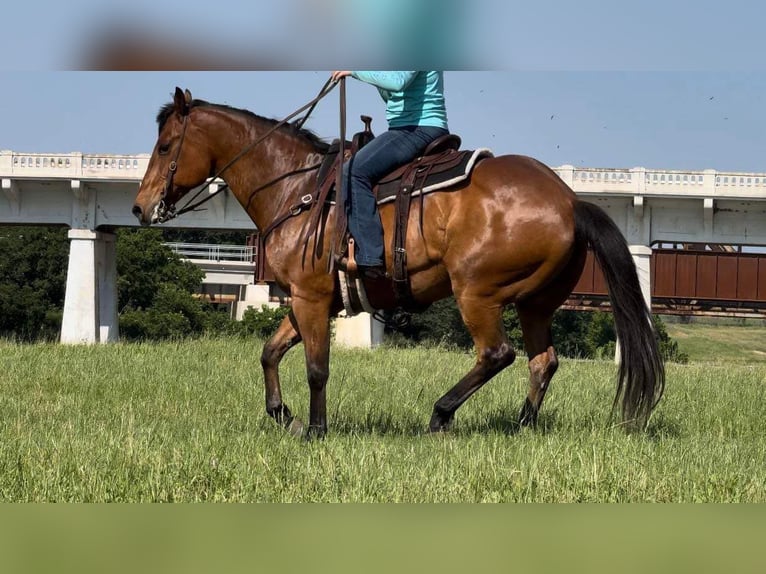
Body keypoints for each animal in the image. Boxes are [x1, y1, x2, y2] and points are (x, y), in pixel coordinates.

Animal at [132, 87, 665, 438]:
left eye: (165, 146)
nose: (139, 207)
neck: (296, 188)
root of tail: (570, 201)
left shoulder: (311, 298)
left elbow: (316, 367)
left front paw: (316, 429)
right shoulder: (308, 300)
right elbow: (270, 351)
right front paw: (284, 415)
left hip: (478, 293)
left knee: (497, 354)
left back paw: (441, 414)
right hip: (536, 303)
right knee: (542, 361)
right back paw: (521, 426)